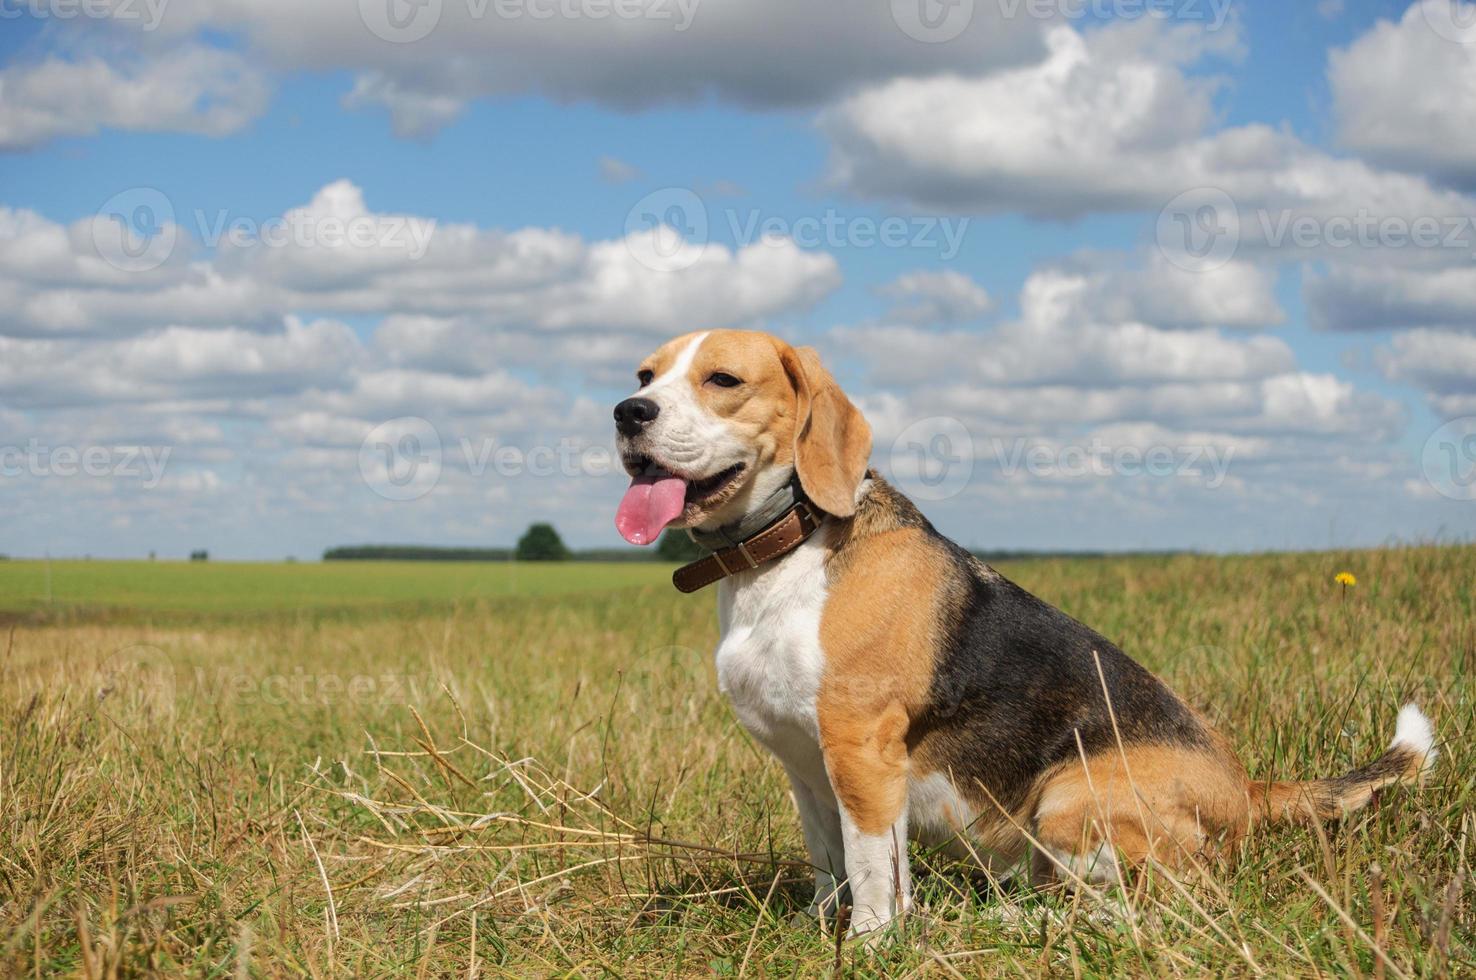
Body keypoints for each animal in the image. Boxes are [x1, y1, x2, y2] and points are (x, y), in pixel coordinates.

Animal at [611, 333, 1440, 938]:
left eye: (722, 379)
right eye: (646, 373)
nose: (627, 411)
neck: (784, 548)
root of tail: (1245, 788)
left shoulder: (860, 750)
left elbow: (873, 865)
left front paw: (872, 942)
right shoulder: (803, 764)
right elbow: (828, 856)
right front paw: (820, 924)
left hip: (1069, 795)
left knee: (1152, 902)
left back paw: (1014, 922)